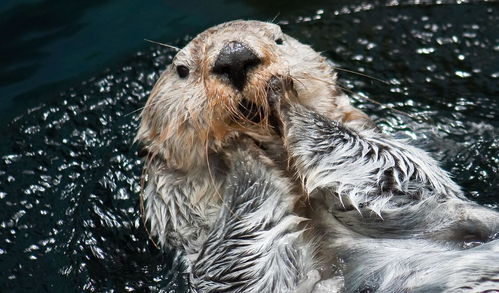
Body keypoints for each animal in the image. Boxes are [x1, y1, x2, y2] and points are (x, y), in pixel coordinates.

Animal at [136, 19, 499, 290]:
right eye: (182, 70)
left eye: (279, 39)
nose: (235, 56)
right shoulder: (223, 260)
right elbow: (244, 262)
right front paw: (236, 146)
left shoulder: (417, 186)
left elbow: (387, 169)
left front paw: (282, 95)